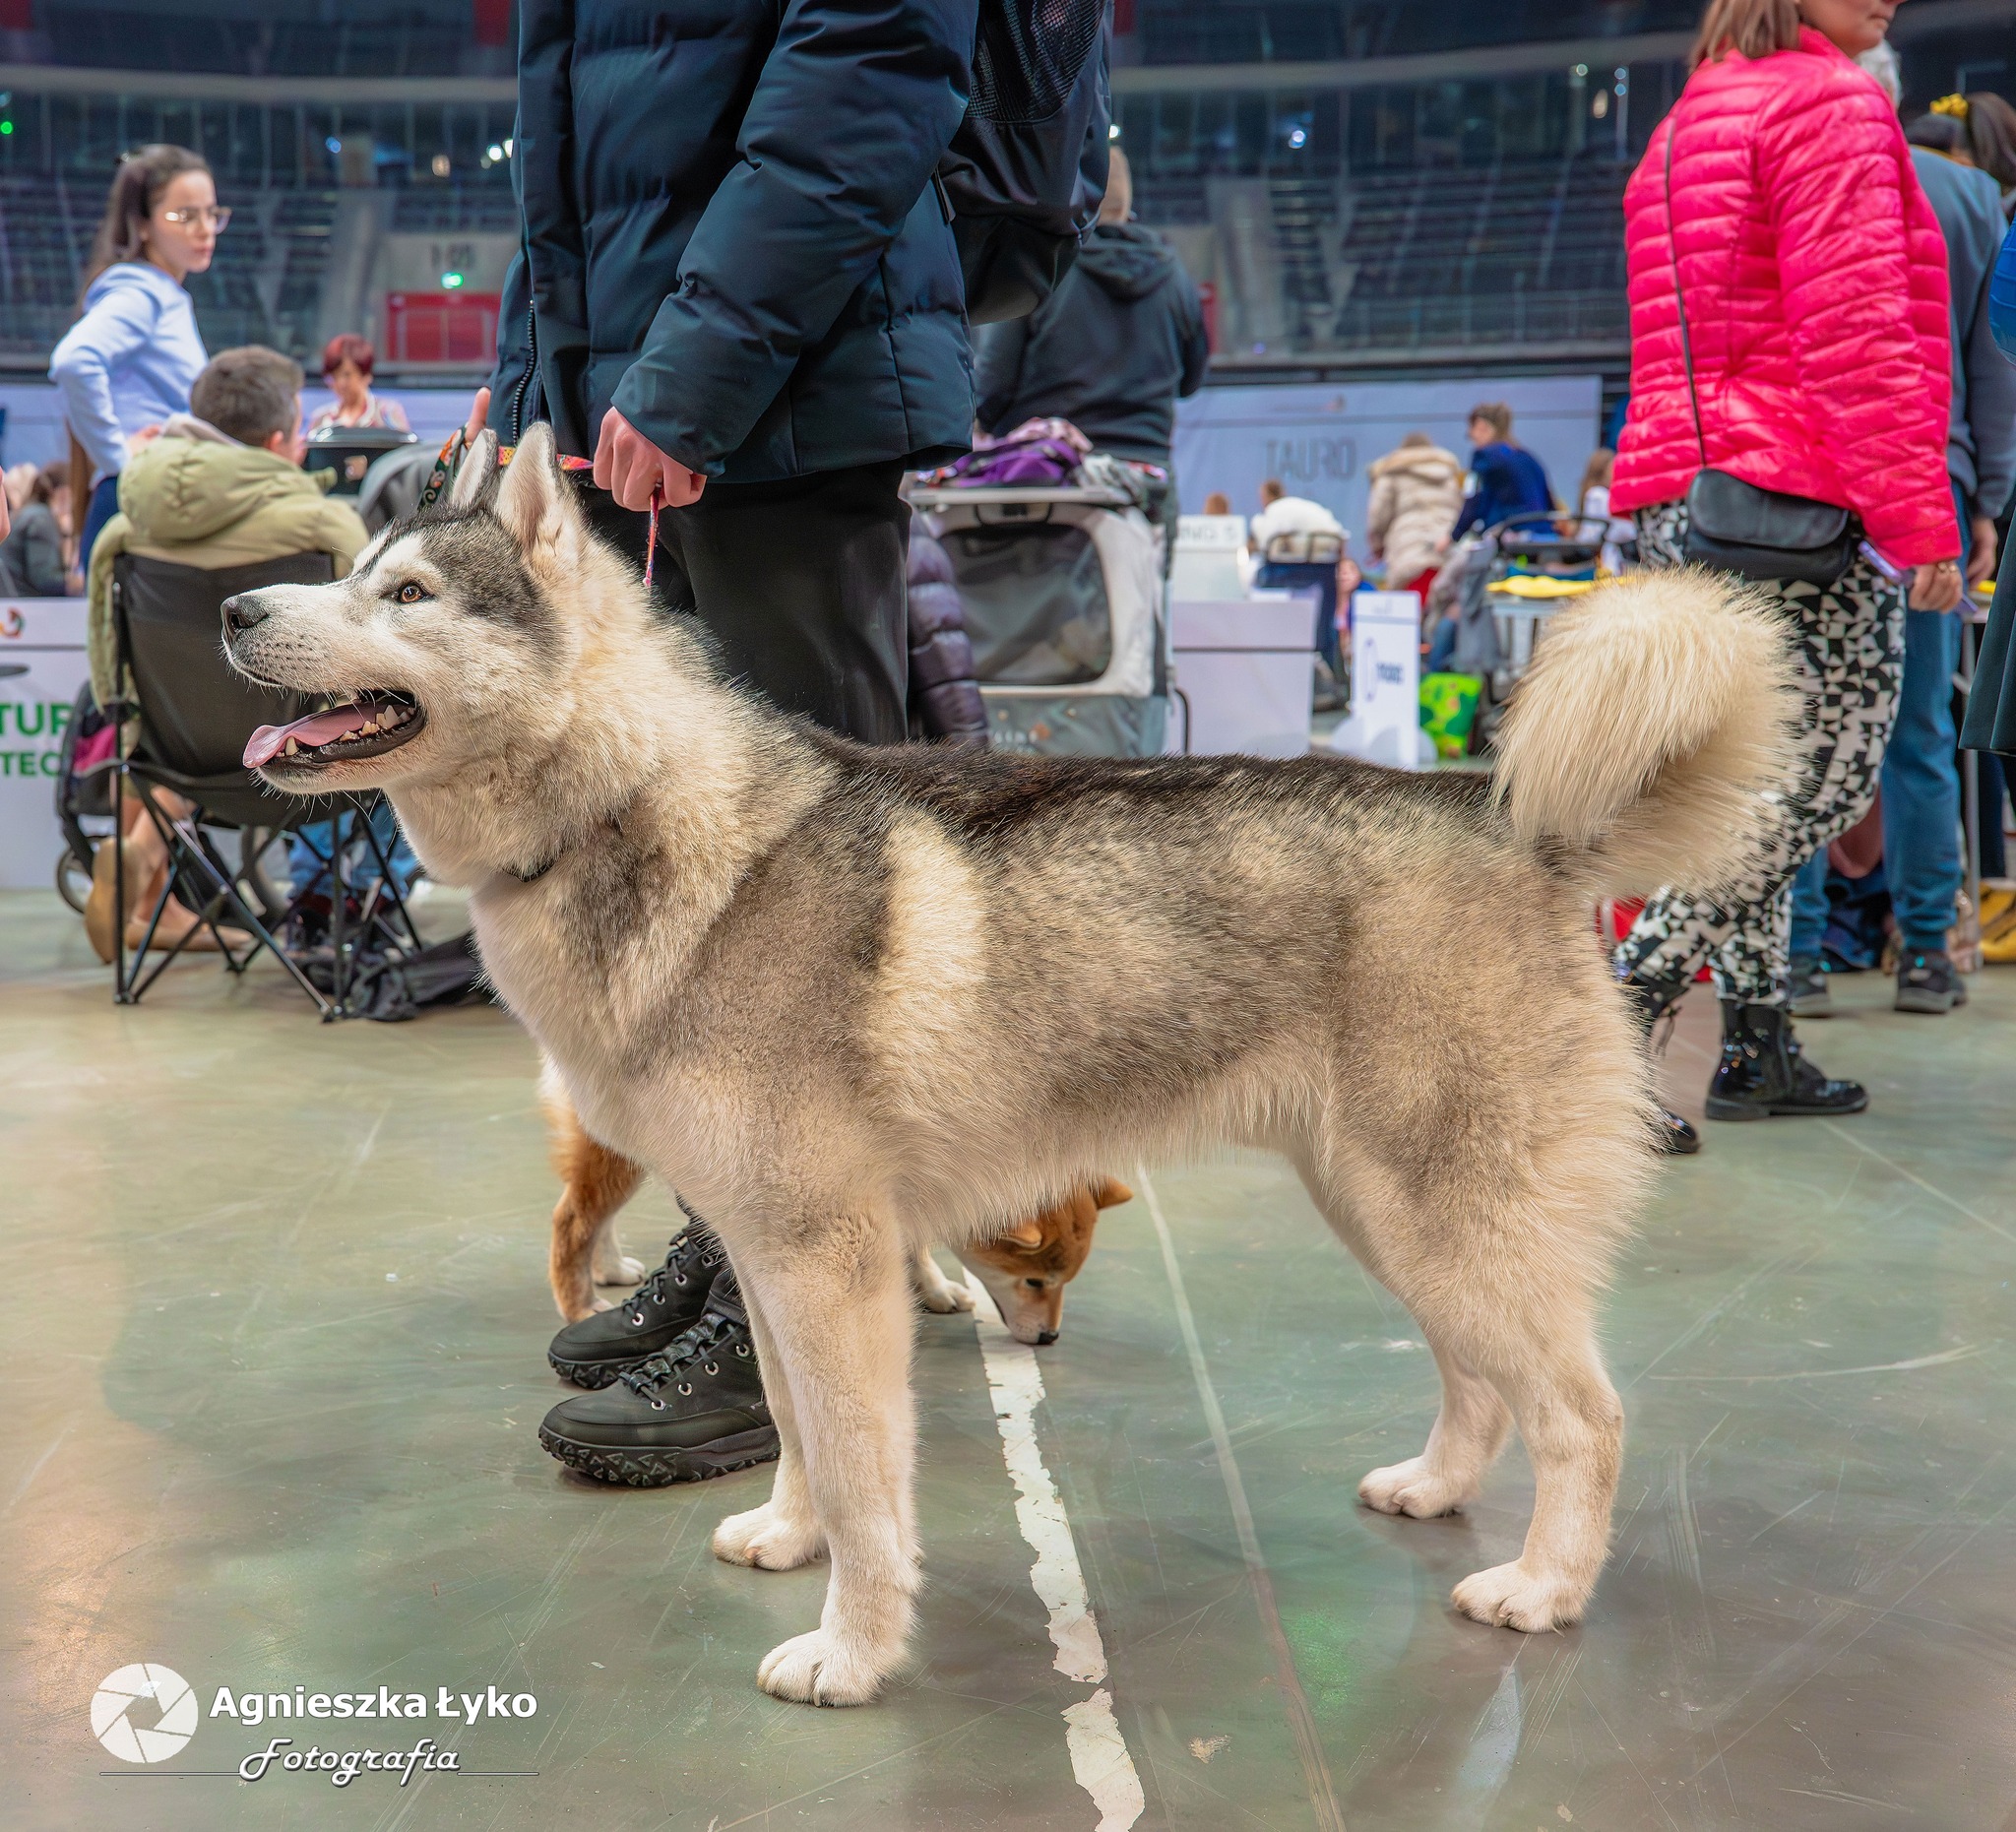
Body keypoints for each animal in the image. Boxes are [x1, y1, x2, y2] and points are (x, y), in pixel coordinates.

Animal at [543, 1076, 1127, 1344]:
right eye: (1035, 1282)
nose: (1050, 1338)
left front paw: (935, 1289)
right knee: (572, 1220)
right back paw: (580, 1305)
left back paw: (609, 1267)